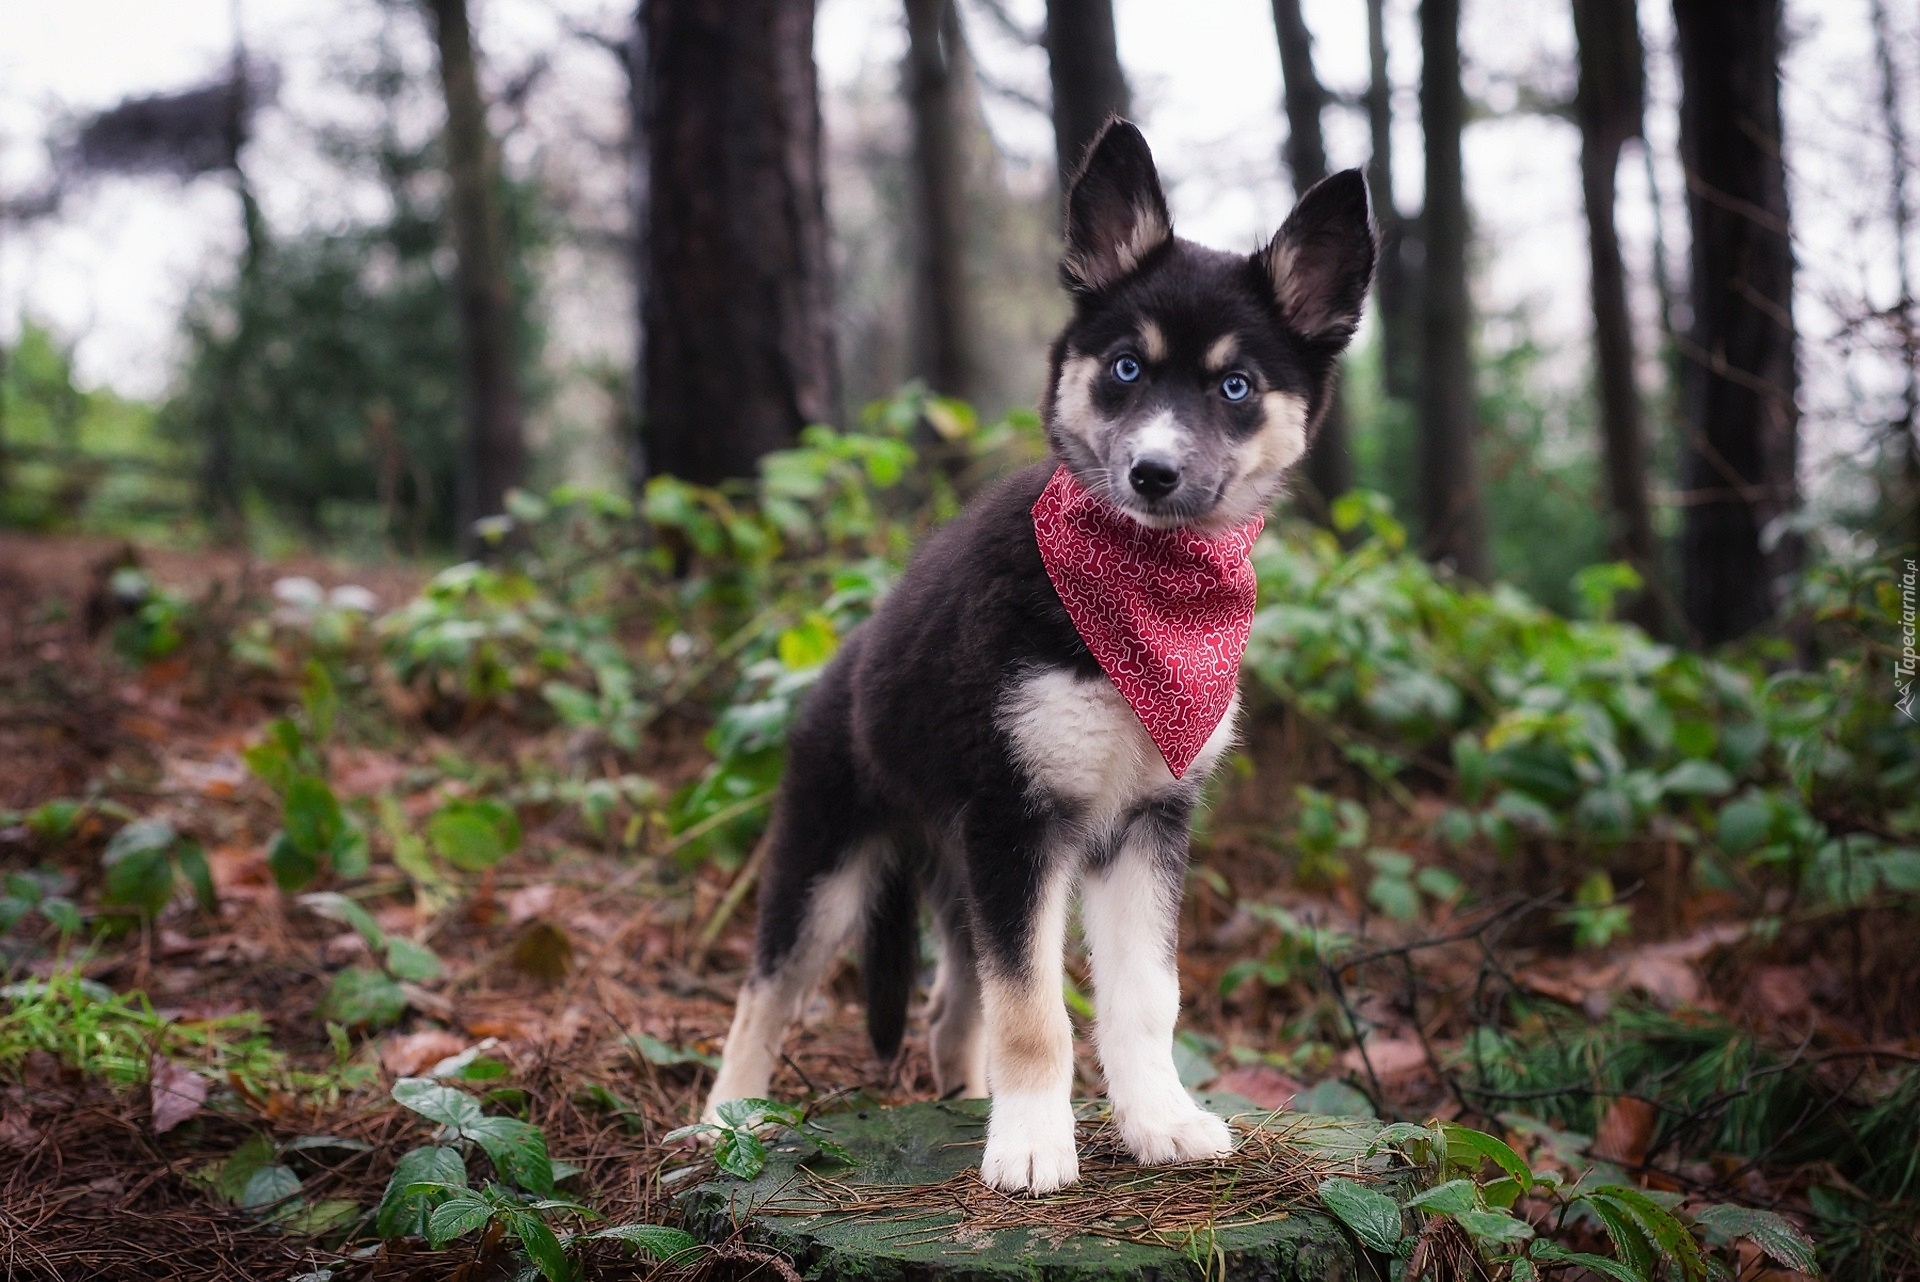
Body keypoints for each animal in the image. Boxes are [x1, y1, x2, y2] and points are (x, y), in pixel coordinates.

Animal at [706, 117, 1382, 1189]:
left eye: (1235, 386)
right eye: (1127, 369)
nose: (1153, 474)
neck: (1146, 599)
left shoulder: (1141, 824)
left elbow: (1144, 999)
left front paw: (1159, 1120)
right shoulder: (1018, 823)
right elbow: (1034, 1014)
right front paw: (1031, 1145)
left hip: (956, 870)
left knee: (950, 1010)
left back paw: (963, 1099)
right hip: (829, 858)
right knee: (765, 992)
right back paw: (723, 1124)